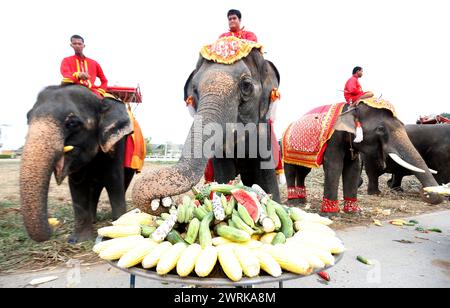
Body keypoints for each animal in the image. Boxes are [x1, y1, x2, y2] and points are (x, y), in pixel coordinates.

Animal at [20, 85, 135, 243]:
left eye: (72, 123)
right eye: (27, 118)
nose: (52, 226)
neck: (99, 99)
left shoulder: (117, 142)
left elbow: (113, 179)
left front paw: (115, 232)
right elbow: (77, 184)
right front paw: (78, 240)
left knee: (122, 182)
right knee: (95, 187)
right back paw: (93, 220)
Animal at [284, 100, 442, 213]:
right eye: (380, 129)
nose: (425, 194)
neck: (351, 108)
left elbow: (353, 168)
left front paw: (353, 212)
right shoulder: (334, 138)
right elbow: (334, 166)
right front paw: (330, 215)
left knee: (303, 171)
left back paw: (302, 201)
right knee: (291, 170)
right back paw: (293, 202)